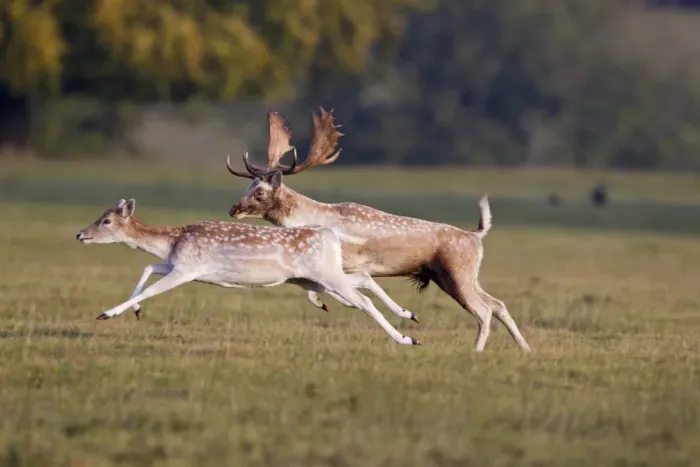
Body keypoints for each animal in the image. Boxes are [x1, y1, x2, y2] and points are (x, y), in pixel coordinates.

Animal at [75, 198, 421, 345]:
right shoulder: (177, 264)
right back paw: (409, 314)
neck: (173, 241)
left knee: (363, 301)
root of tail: (331, 236)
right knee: (363, 280)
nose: (79, 234)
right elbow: (148, 266)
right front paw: (134, 310)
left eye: (106, 220)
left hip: (325, 275)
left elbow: (152, 286)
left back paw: (406, 339)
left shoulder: (189, 267)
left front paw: (106, 313)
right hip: (314, 278)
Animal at [224, 108, 531, 352]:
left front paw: (330, 303)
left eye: (260, 192)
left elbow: (326, 290)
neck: (310, 217)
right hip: (459, 276)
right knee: (498, 304)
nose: (234, 209)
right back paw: (524, 349)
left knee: (484, 310)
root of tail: (476, 235)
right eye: (248, 185)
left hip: (457, 274)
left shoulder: (346, 262)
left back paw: (477, 351)